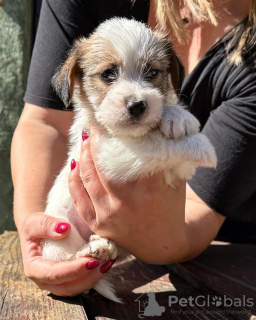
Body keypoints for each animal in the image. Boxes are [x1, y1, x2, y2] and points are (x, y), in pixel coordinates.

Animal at [42, 17, 216, 302]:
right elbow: (156, 144)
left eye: (152, 72)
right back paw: (93, 250)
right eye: (108, 74)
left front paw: (177, 116)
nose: (137, 105)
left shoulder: (177, 170)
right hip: (60, 238)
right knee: (66, 257)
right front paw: (204, 146)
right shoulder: (110, 153)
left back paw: (103, 245)